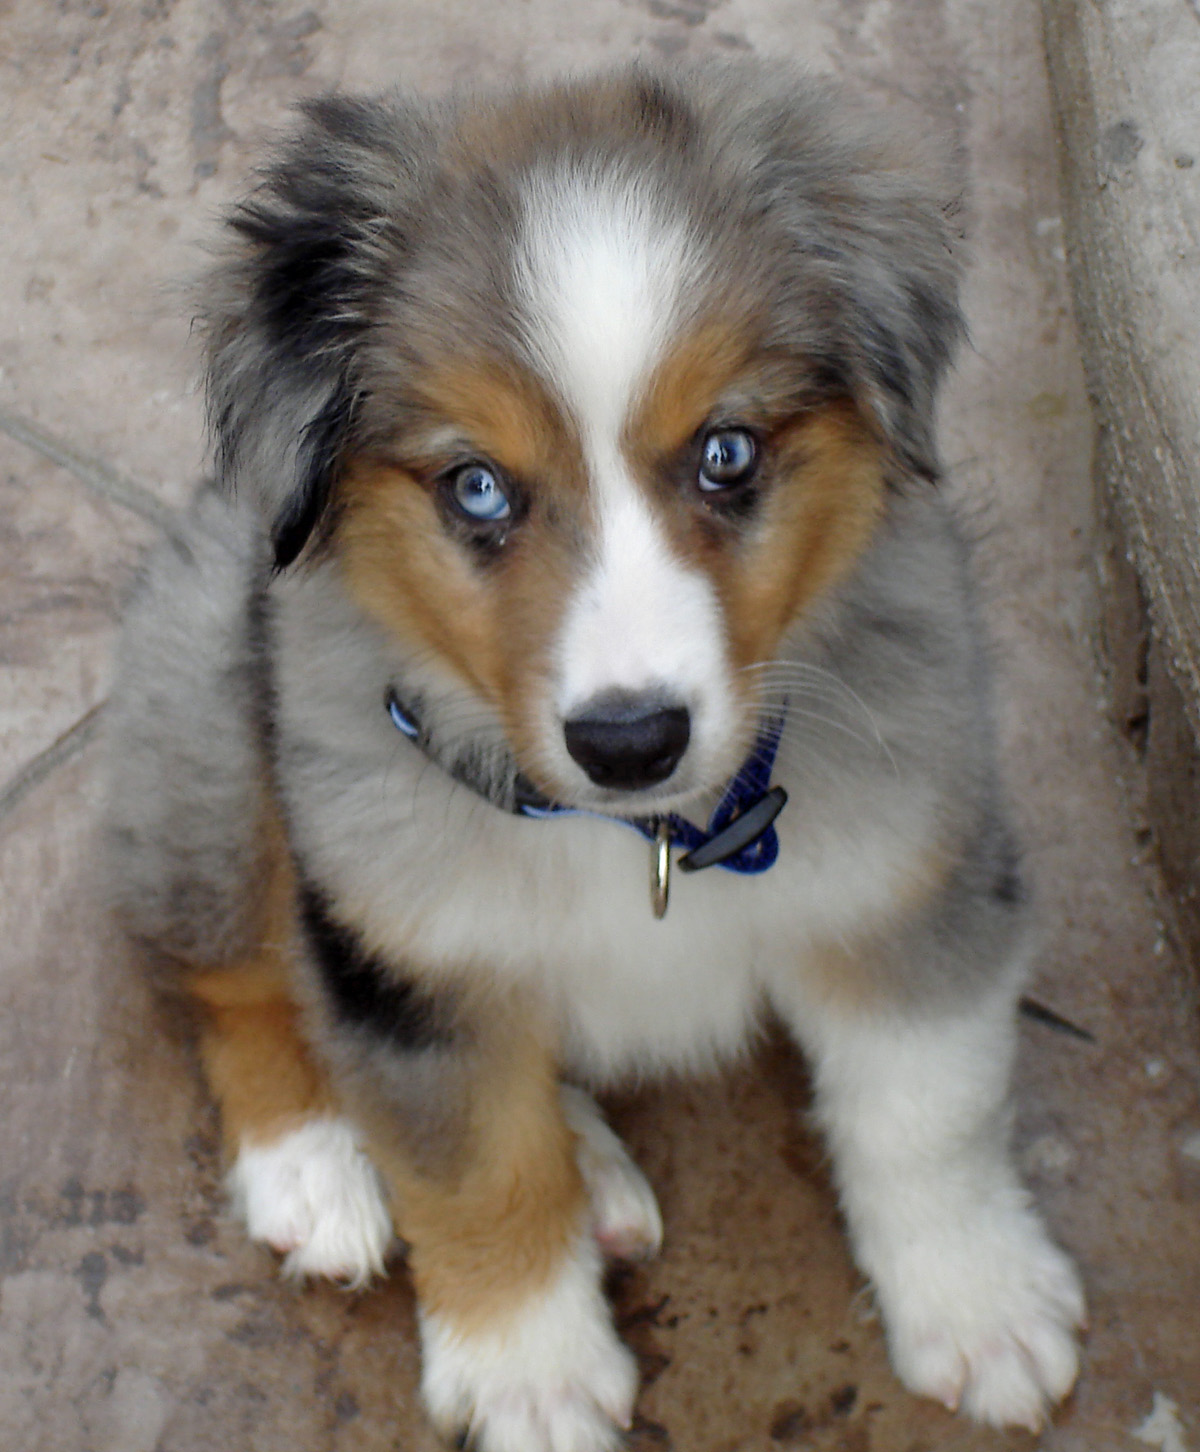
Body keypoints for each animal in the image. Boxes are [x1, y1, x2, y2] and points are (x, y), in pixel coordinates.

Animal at [107, 65, 1086, 1452]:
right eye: (476, 487)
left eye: (728, 454)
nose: (630, 740)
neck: (642, 839)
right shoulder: (398, 935)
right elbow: (471, 1165)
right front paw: (532, 1372)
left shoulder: (915, 872)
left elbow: (928, 1112)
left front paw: (979, 1302)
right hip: (205, 717)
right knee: (232, 983)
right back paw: (315, 1162)